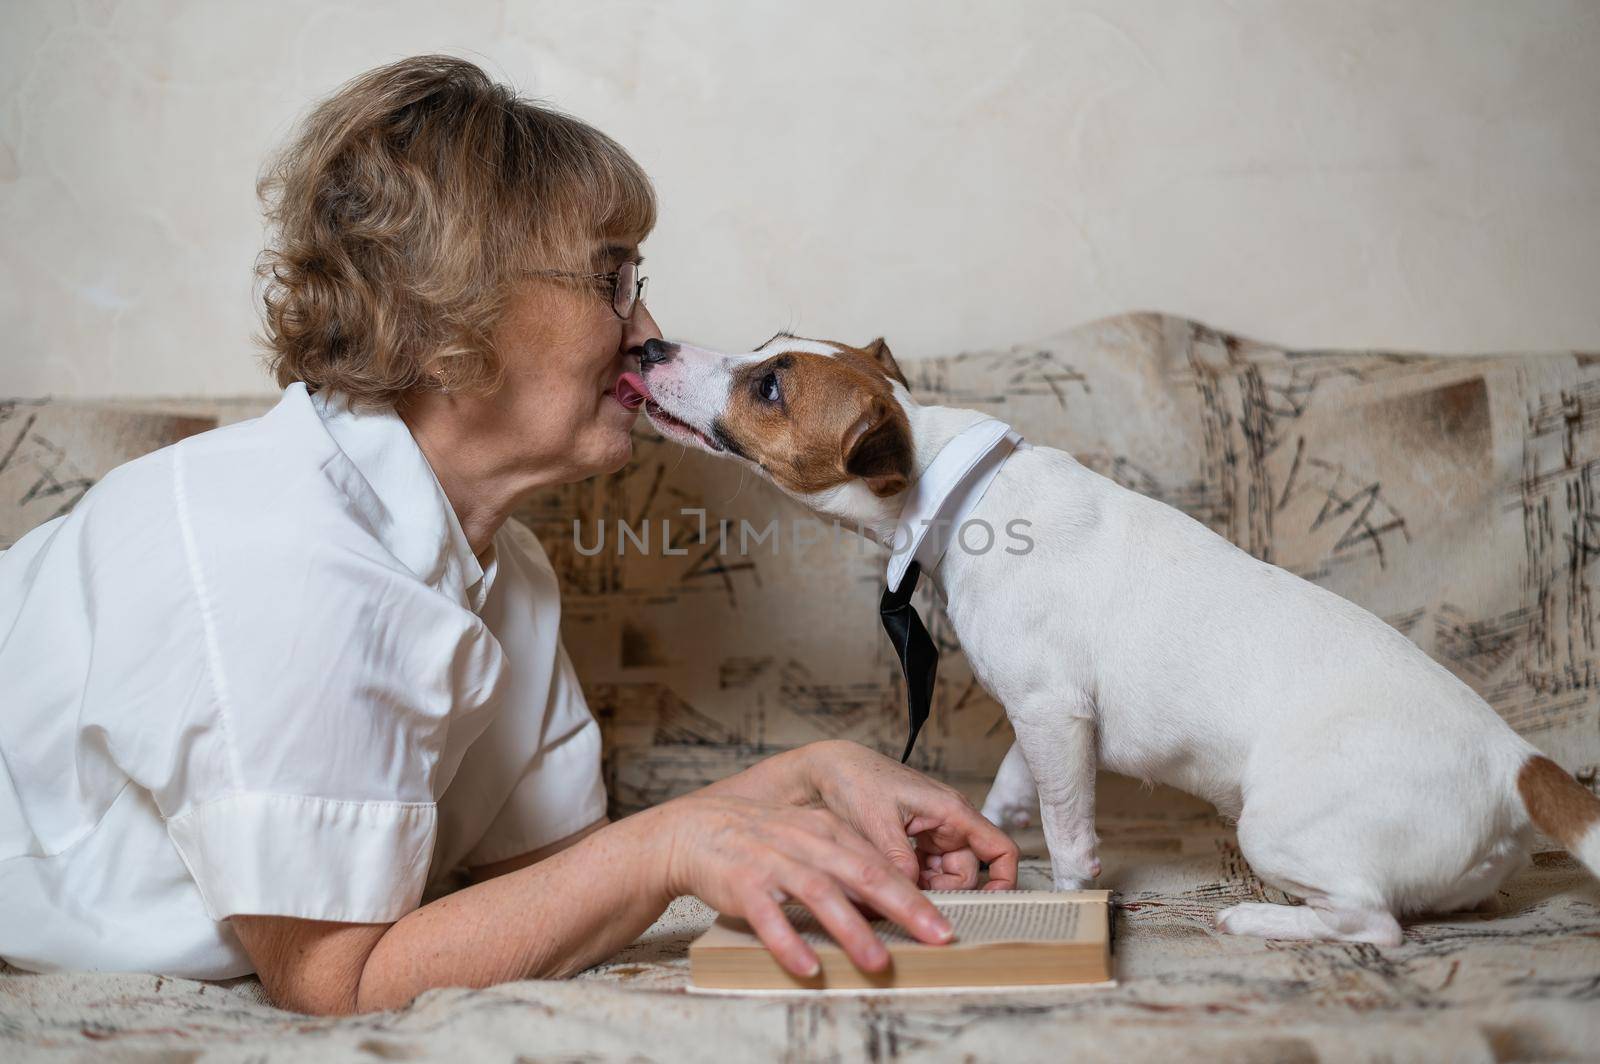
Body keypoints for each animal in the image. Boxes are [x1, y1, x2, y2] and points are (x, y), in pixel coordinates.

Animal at [620, 334, 1600, 947]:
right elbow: (1012, 796)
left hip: (1277, 826)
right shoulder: (1041, 724)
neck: (958, 491)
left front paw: (1066, 893)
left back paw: (1262, 920)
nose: (651, 350)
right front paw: (977, 848)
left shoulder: (1054, 714)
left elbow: (1068, 833)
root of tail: (1519, 764)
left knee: (1375, 924)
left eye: (769, 387)